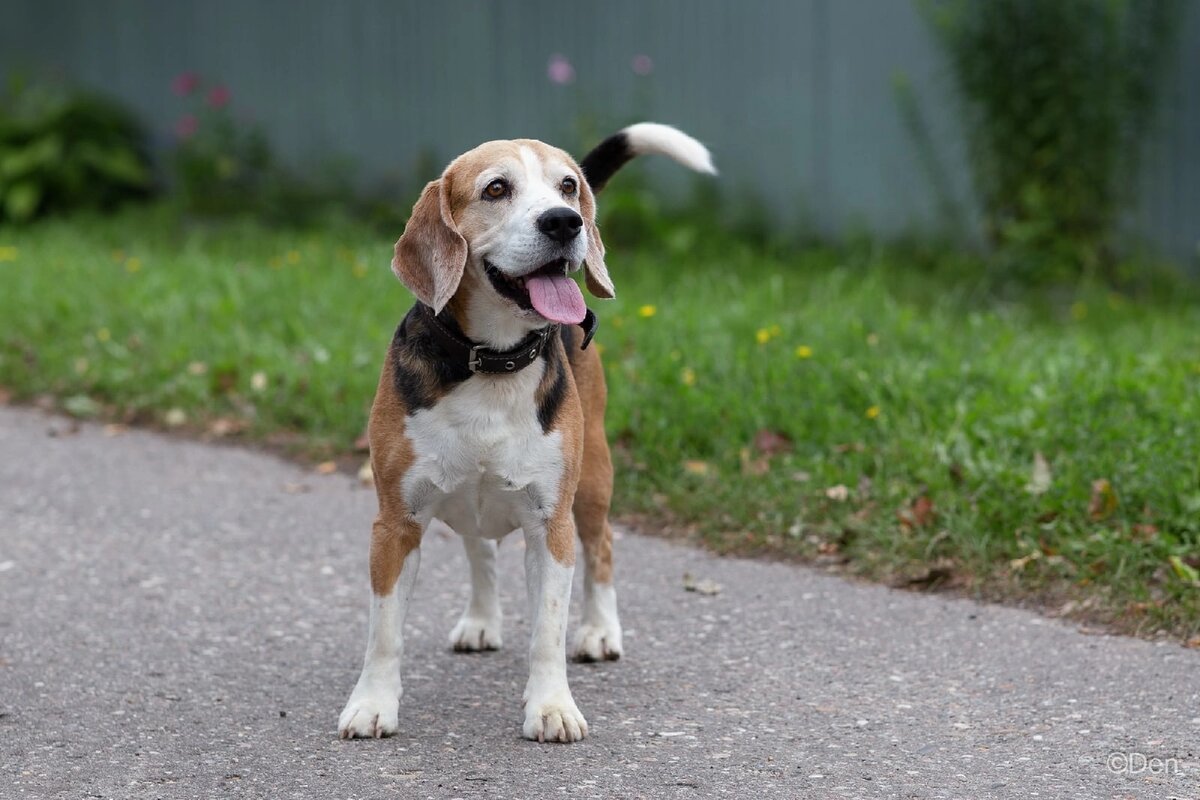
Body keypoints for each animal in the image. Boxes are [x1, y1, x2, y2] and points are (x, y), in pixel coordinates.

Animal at [338, 122, 710, 743]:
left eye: (567, 185)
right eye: (496, 189)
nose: (565, 221)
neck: (491, 362)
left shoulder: (549, 525)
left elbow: (547, 632)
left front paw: (552, 707)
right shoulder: (395, 522)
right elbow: (383, 631)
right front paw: (371, 705)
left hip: (593, 480)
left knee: (603, 546)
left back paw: (600, 632)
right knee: (479, 549)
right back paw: (481, 620)